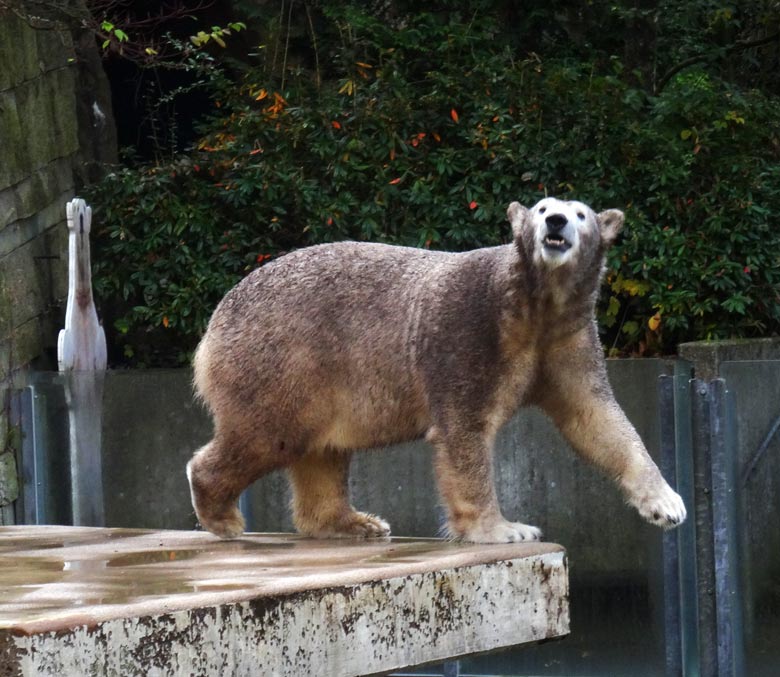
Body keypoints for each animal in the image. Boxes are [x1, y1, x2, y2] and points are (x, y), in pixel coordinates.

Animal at [186, 198, 684, 540]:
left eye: (580, 213)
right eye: (542, 206)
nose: (555, 223)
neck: (531, 305)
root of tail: (215, 322)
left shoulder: (567, 340)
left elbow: (596, 418)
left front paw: (668, 503)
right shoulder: (467, 330)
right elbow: (464, 431)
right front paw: (506, 529)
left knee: (322, 449)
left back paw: (355, 522)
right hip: (282, 356)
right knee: (271, 433)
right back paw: (222, 515)